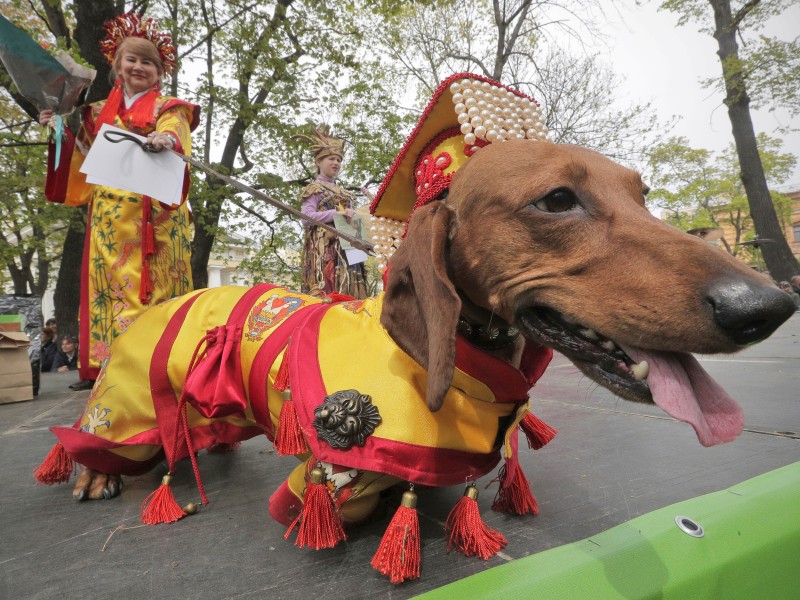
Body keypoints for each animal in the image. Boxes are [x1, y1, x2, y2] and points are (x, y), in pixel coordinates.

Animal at [45, 138, 792, 524]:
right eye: (556, 200)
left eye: (642, 197)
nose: (767, 305)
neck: (458, 364)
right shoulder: (327, 486)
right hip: (131, 399)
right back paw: (95, 471)